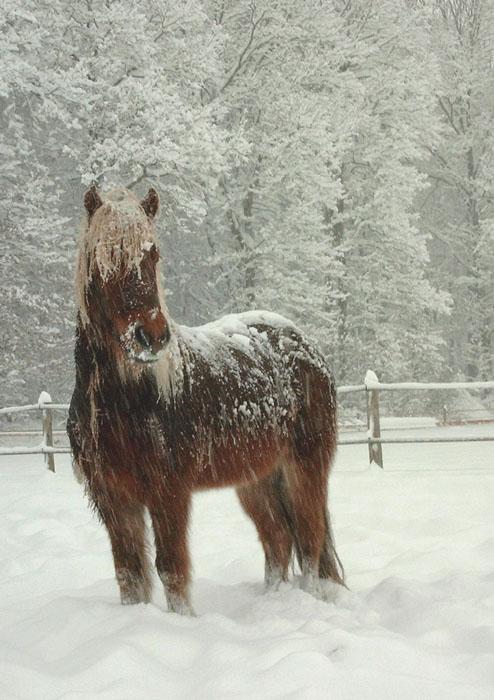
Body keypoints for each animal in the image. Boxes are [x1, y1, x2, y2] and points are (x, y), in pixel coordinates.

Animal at [67, 185, 344, 615]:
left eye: (153, 254)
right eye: (105, 253)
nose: (151, 336)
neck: (127, 403)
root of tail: (302, 342)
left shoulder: (168, 493)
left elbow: (171, 570)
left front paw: (183, 620)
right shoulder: (112, 499)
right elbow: (129, 574)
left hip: (305, 468)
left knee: (311, 541)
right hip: (257, 478)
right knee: (278, 540)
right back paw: (272, 600)